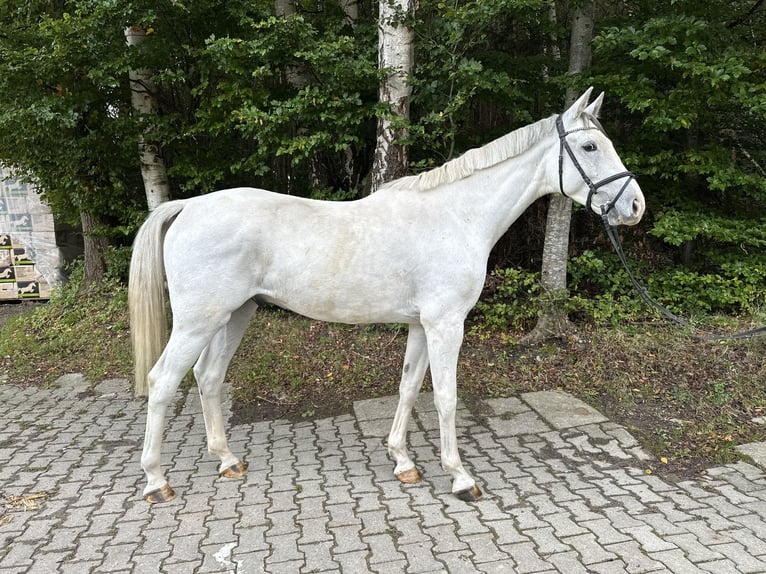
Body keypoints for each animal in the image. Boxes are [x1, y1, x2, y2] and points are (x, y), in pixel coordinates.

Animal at [129, 89, 644, 504]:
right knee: (163, 381)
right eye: (590, 146)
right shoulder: (445, 324)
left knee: (209, 377)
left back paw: (227, 459)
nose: (635, 206)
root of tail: (188, 207)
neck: (457, 216)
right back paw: (156, 481)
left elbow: (409, 387)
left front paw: (404, 462)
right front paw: (460, 477)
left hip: (235, 314)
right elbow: (446, 397)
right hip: (200, 320)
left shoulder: (421, 324)